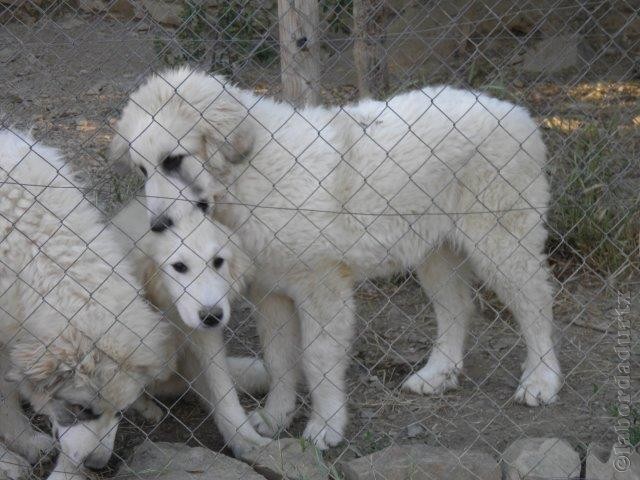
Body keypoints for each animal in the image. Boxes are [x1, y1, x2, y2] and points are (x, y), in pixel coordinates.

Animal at [112, 197, 272, 456]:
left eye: (218, 262)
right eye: (179, 266)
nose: (212, 317)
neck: (169, 310)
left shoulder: (205, 340)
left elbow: (223, 391)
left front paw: (246, 440)